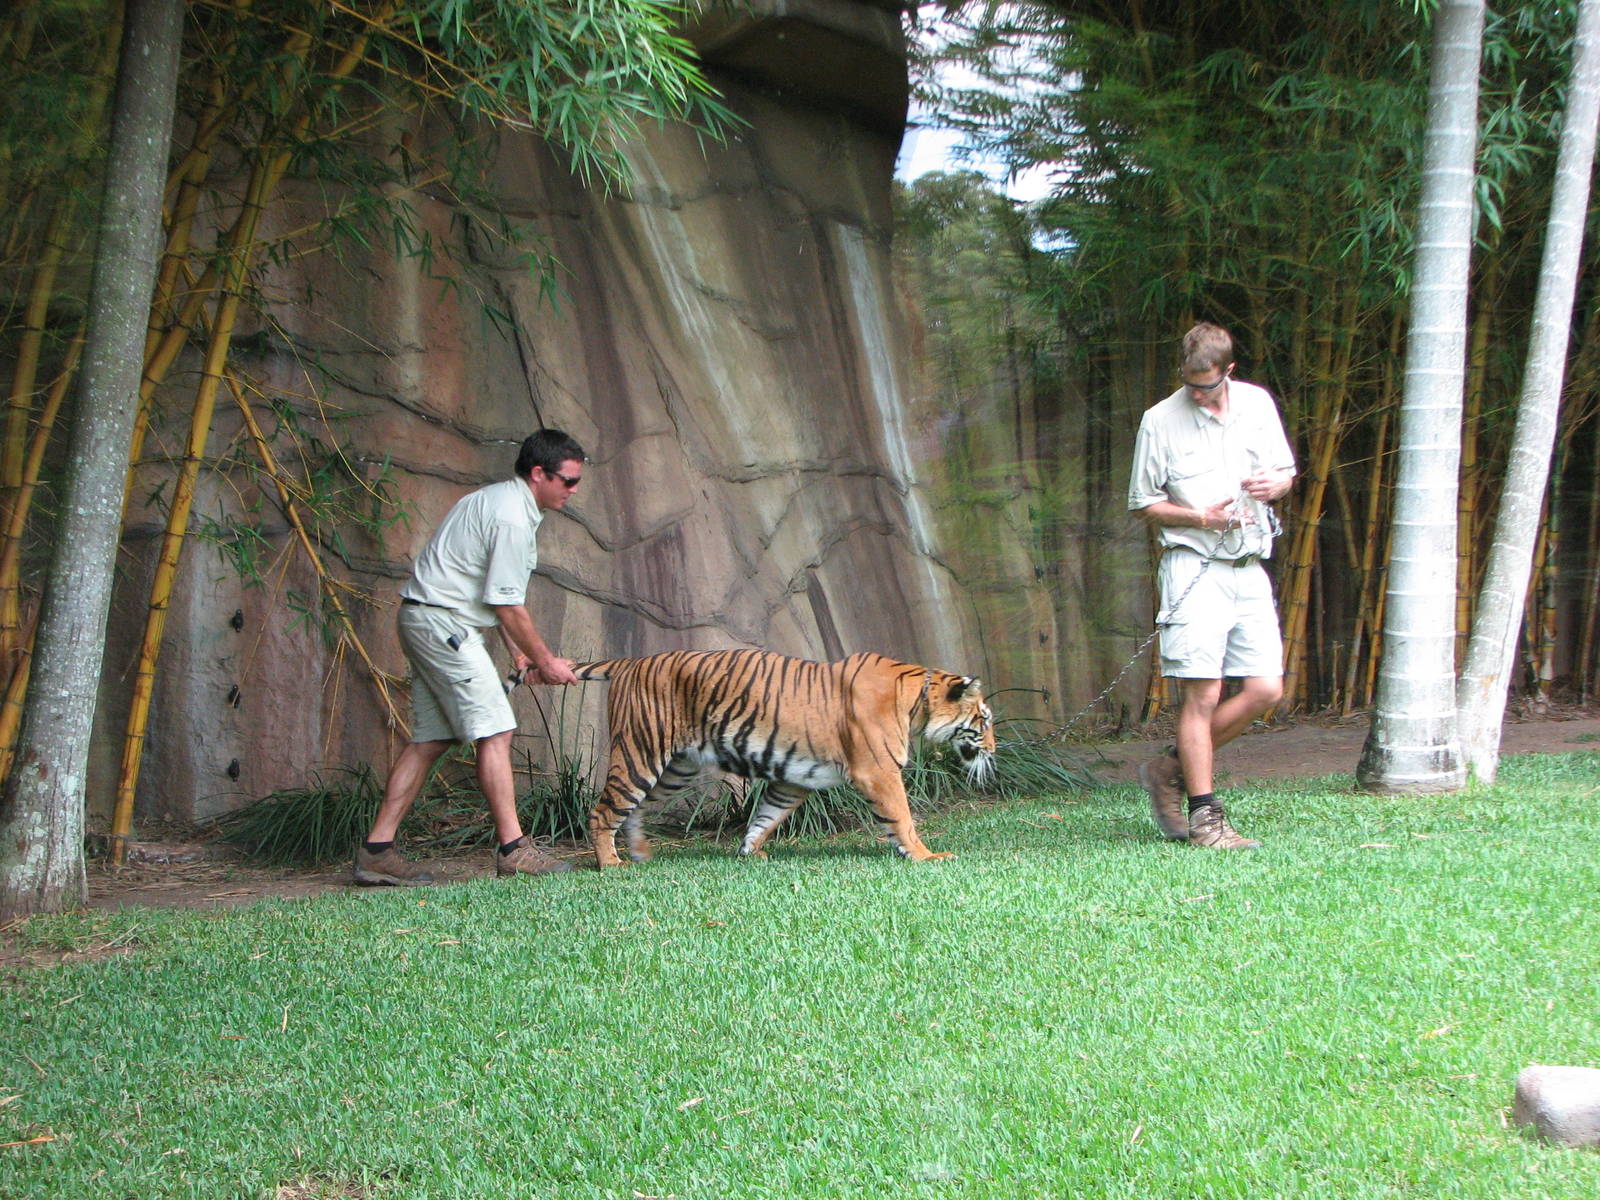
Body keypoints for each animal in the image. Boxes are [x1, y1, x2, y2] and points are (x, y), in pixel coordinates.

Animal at [571, 649, 996, 869]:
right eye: (985, 720)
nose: (994, 749)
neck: (917, 703)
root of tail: (630, 661)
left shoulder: (795, 777)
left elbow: (766, 816)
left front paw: (750, 851)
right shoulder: (878, 771)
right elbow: (902, 817)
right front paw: (925, 855)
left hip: (676, 768)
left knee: (636, 810)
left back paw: (640, 853)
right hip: (640, 752)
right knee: (603, 811)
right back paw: (611, 864)